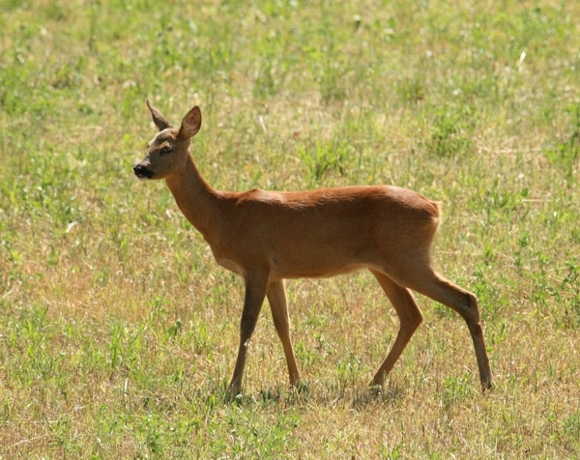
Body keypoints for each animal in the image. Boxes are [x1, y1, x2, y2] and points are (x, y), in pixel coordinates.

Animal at [134, 100, 492, 396]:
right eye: (147, 144)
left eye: (167, 148)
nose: (139, 167)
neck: (223, 214)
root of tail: (435, 208)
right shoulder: (275, 273)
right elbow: (283, 325)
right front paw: (297, 382)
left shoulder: (255, 263)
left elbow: (247, 325)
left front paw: (234, 387)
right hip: (385, 266)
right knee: (412, 314)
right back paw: (375, 381)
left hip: (407, 258)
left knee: (465, 299)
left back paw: (486, 381)